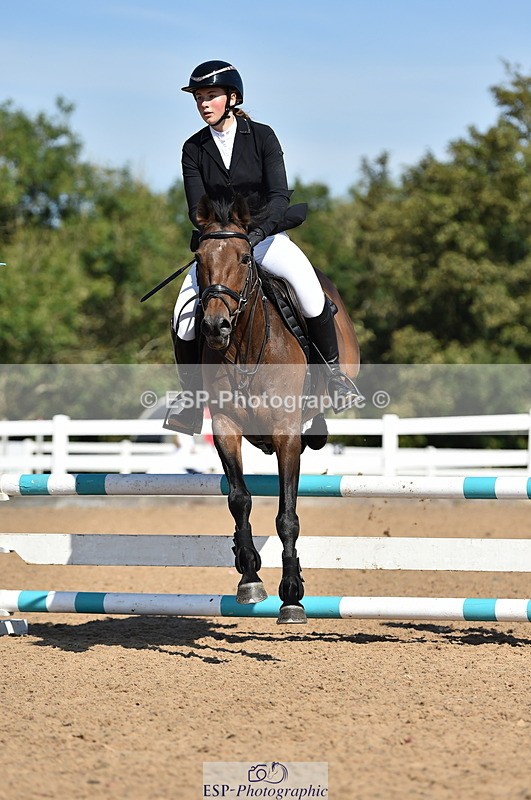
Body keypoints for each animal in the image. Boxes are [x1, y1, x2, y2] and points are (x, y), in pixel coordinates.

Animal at [193, 194, 360, 623]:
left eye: (244, 258)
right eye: (199, 258)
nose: (215, 327)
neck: (245, 347)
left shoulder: (285, 433)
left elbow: (287, 516)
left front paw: (292, 595)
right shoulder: (225, 427)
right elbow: (239, 499)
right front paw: (249, 575)